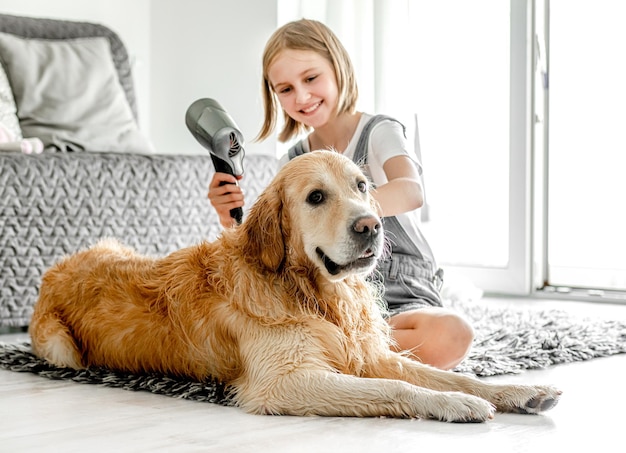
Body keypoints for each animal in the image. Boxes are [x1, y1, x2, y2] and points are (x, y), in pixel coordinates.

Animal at [29, 151, 560, 420]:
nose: (370, 226)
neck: (312, 294)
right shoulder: (285, 381)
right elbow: (395, 387)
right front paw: (455, 405)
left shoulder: (368, 353)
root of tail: (55, 270)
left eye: (361, 185)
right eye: (316, 197)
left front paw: (518, 390)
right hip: (60, 347)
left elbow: (451, 374)